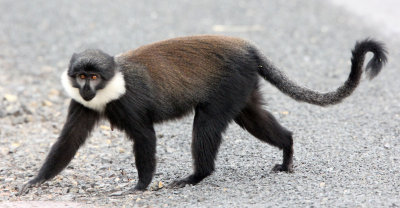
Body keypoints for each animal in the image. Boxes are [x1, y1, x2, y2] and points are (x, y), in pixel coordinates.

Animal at [18, 34, 388, 195]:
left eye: (93, 77)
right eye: (81, 76)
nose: (86, 87)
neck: (113, 82)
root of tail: (245, 47)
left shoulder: (130, 103)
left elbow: (145, 136)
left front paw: (139, 186)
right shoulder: (81, 104)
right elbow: (69, 140)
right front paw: (37, 181)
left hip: (230, 83)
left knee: (207, 123)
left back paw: (198, 175)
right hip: (243, 86)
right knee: (251, 117)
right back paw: (287, 149)